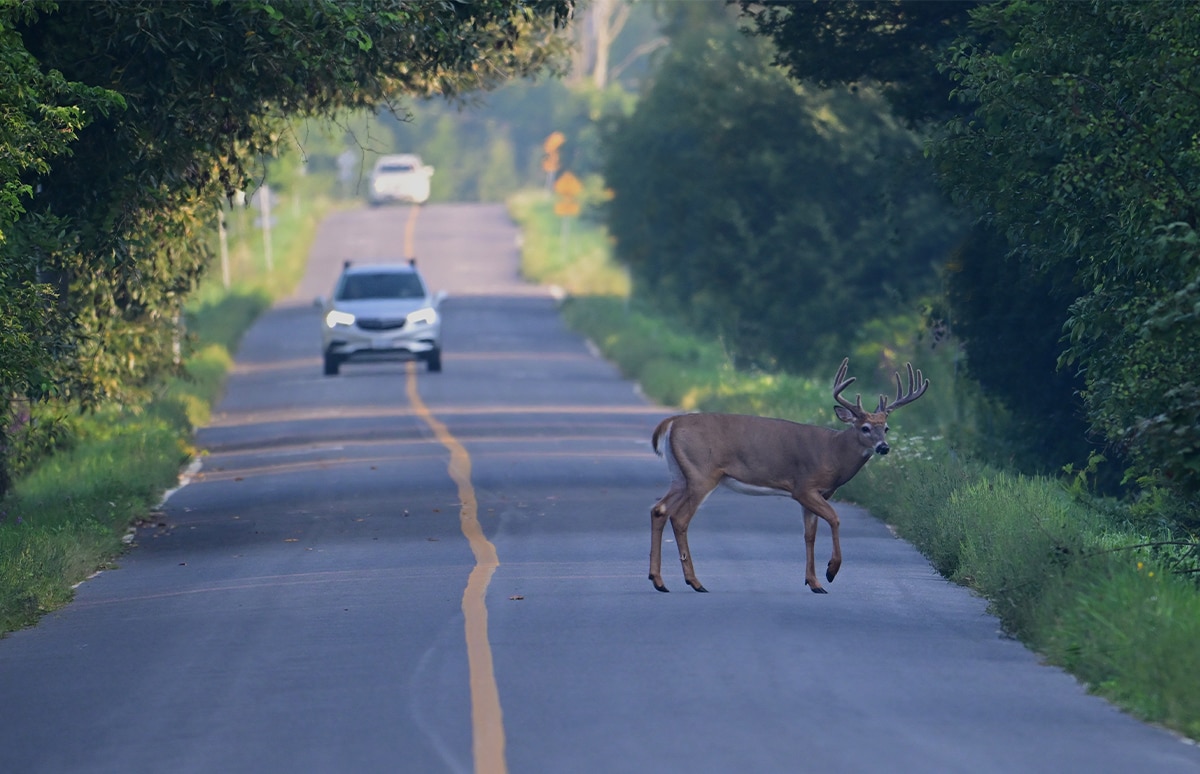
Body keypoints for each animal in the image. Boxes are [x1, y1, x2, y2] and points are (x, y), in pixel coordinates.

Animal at [648, 355, 926, 592]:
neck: (834, 453)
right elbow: (835, 519)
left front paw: (814, 583)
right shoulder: (804, 487)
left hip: (680, 475)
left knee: (659, 510)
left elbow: (809, 535)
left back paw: (658, 580)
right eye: (865, 427)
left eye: (886, 428)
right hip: (702, 473)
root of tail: (671, 422)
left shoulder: (817, 494)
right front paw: (831, 572)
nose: (884, 447)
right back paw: (694, 582)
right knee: (680, 518)